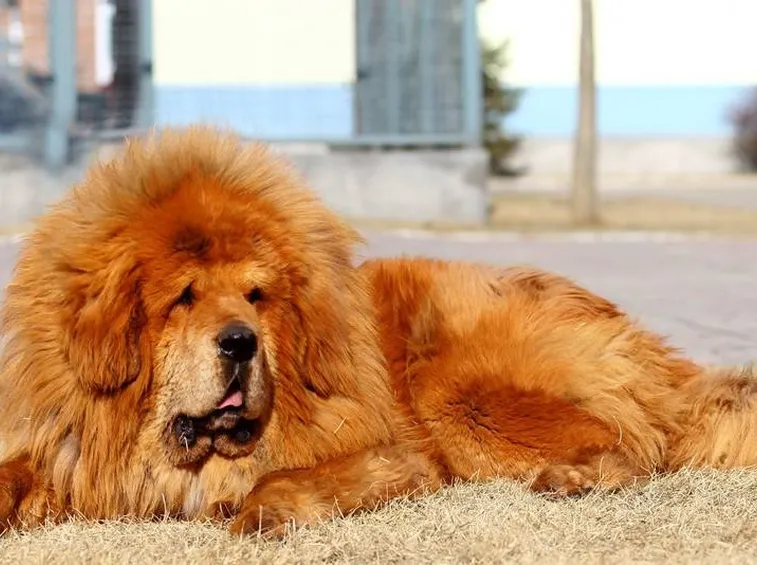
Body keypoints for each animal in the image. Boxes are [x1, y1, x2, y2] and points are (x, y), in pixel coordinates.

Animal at [0, 126, 755, 537]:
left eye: (255, 295)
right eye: (183, 297)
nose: (241, 341)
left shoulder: (395, 454)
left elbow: (285, 476)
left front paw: (261, 511)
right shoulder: (69, 453)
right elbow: (15, 472)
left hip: (459, 392)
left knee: (635, 448)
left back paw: (569, 478)